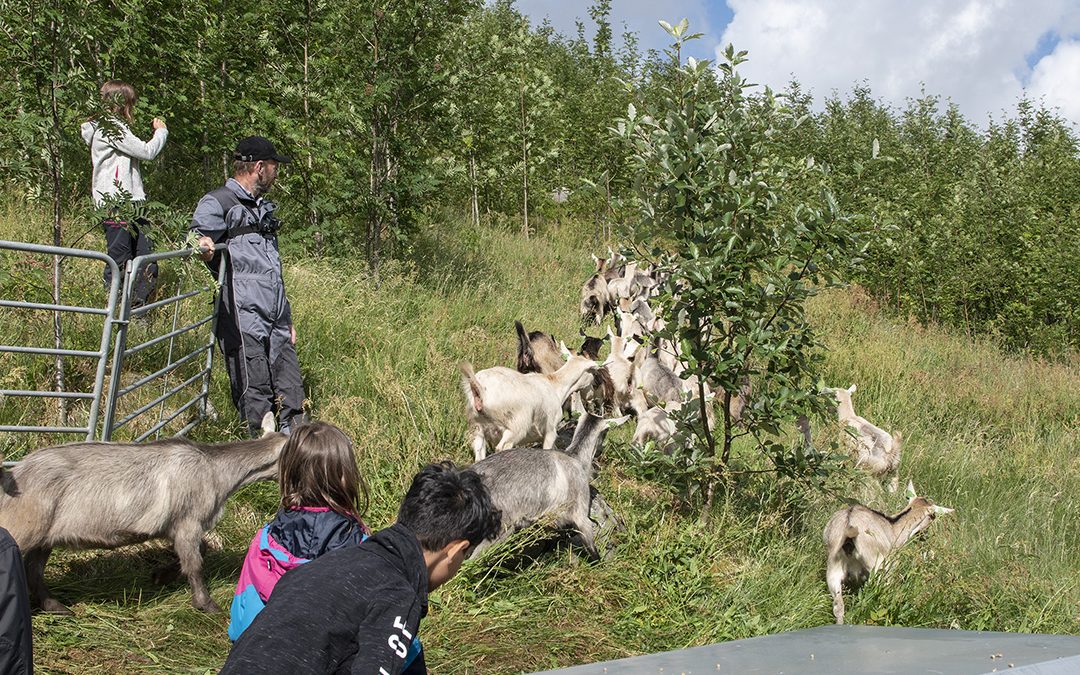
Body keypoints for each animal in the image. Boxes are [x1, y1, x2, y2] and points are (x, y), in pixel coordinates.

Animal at [0, 412, 285, 613]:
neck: (216, 469)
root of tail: (14, 475)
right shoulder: (188, 521)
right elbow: (195, 563)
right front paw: (206, 604)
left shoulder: (175, 527)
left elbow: (200, 551)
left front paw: (161, 575)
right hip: (22, 527)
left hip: (43, 535)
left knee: (34, 569)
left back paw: (55, 606)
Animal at [460, 345, 600, 460]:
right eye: (593, 373)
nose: (591, 394)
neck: (555, 385)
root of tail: (479, 388)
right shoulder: (550, 431)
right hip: (516, 427)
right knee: (503, 447)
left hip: (477, 428)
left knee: (479, 452)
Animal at [468, 412, 630, 561]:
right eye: (606, 432)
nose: (601, 450)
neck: (575, 457)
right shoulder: (581, 511)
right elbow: (591, 546)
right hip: (501, 527)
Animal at [825, 481, 954, 622]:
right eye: (933, 516)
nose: (924, 536)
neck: (894, 529)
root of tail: (849, 527)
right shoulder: (890, 568)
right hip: (876, 569)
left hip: (833, 569)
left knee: (838, 607)